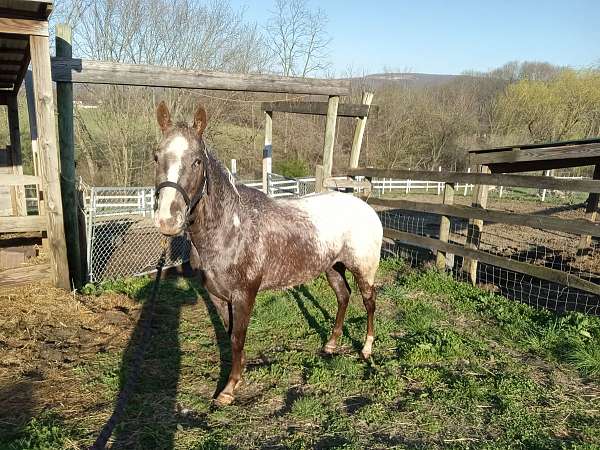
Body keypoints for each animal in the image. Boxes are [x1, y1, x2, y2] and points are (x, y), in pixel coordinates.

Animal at [152, 103, 382, 408]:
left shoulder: (244, 294)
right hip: (332, 267)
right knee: (343, 296)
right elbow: (230, 335)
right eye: (156, 157)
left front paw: (228, 390)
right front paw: (237, 376)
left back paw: (366, 349)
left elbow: (238, 337)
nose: (167, 220)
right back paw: (330, 345)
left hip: (363, 269)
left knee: (369, 302)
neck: (231, 228)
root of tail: (365, 206)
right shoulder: (217, 295)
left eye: (197, 161)